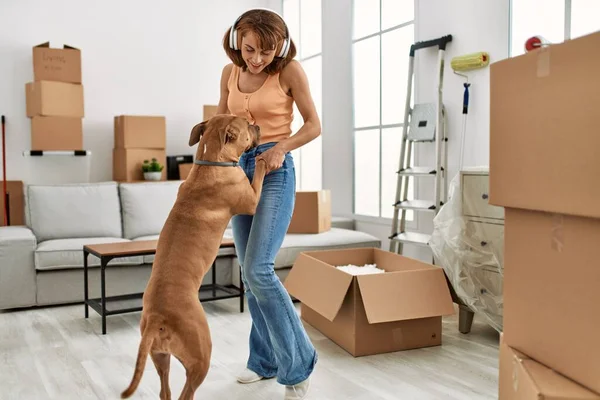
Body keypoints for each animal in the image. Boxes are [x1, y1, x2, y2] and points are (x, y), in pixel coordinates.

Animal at [122, 114, 268, 398]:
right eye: (246, 124)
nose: (257, 124)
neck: (211, 162)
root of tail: (158, 317)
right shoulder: (251, 199)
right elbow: (257, 176)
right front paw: (262, 160)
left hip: (160, 357)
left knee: (165, 390)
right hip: (201, 356)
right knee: (186, 392)